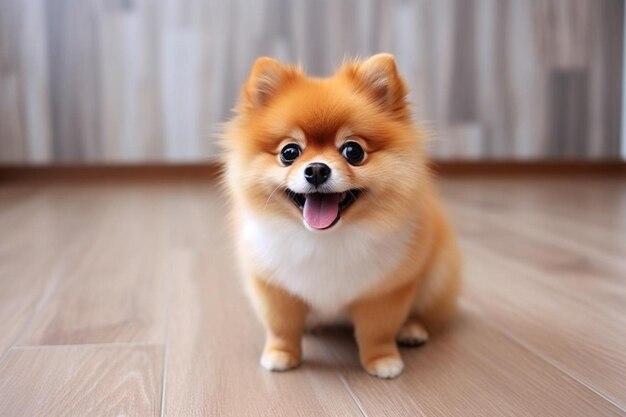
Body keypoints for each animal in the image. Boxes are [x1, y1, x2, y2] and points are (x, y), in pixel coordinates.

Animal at [221, 52, 458, 376]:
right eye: (289, 152)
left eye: (353, 151)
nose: (317, 169)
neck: (324, 239)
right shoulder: (274, 287)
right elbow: (281, 326)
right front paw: (281, 354)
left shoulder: (386, 291)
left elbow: (377, 331)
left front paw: (383, 360)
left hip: (436, 277)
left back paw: (412, 330)